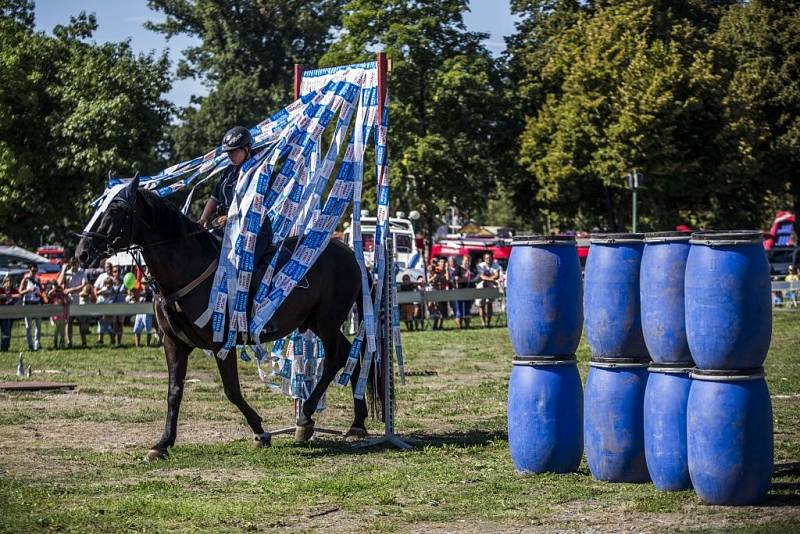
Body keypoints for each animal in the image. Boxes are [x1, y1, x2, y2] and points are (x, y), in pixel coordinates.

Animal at [75, 178, 376, 462]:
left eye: (116, 209)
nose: (82, 253)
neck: (187, 269)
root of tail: (348, 253)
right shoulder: (174, 344)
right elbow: (174, 392)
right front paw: (162, 444)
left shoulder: (221, 343)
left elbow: (231, 390)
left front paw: (261, 432)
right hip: (317, 321)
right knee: (349, 355)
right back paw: (357, 423)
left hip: (327, 321)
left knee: (337, 359)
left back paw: (306, 418)